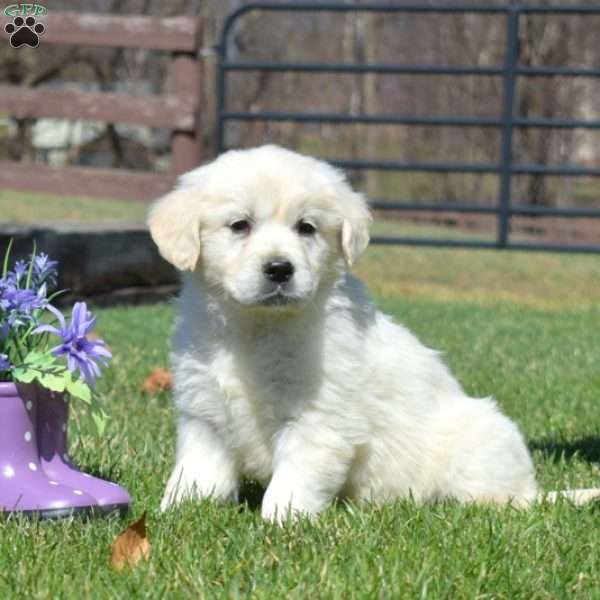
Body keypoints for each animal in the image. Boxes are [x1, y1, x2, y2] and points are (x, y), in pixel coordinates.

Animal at [149, 144, 596, 520]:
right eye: (239, 225)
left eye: (306, 228)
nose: (279, 269)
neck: (257, 327)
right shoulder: (205, 412)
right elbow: (197, 472)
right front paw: (178, 512)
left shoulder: (318, 416)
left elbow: (294, 481)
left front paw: (281, 523)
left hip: (480, 438)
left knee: (503, 500)